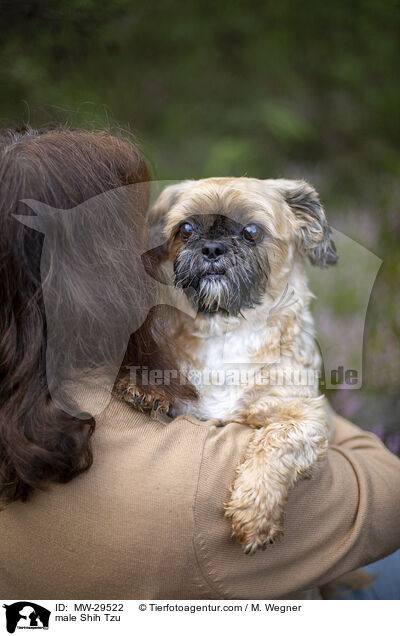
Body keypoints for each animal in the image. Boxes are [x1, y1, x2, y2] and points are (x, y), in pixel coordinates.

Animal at [124, 178, 338, 552]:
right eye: (186, 228)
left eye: (251, 230)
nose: (212, 249)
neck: (228, 330)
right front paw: (147, 387)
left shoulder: (307, 417)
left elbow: (276, 440)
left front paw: (255, 510)